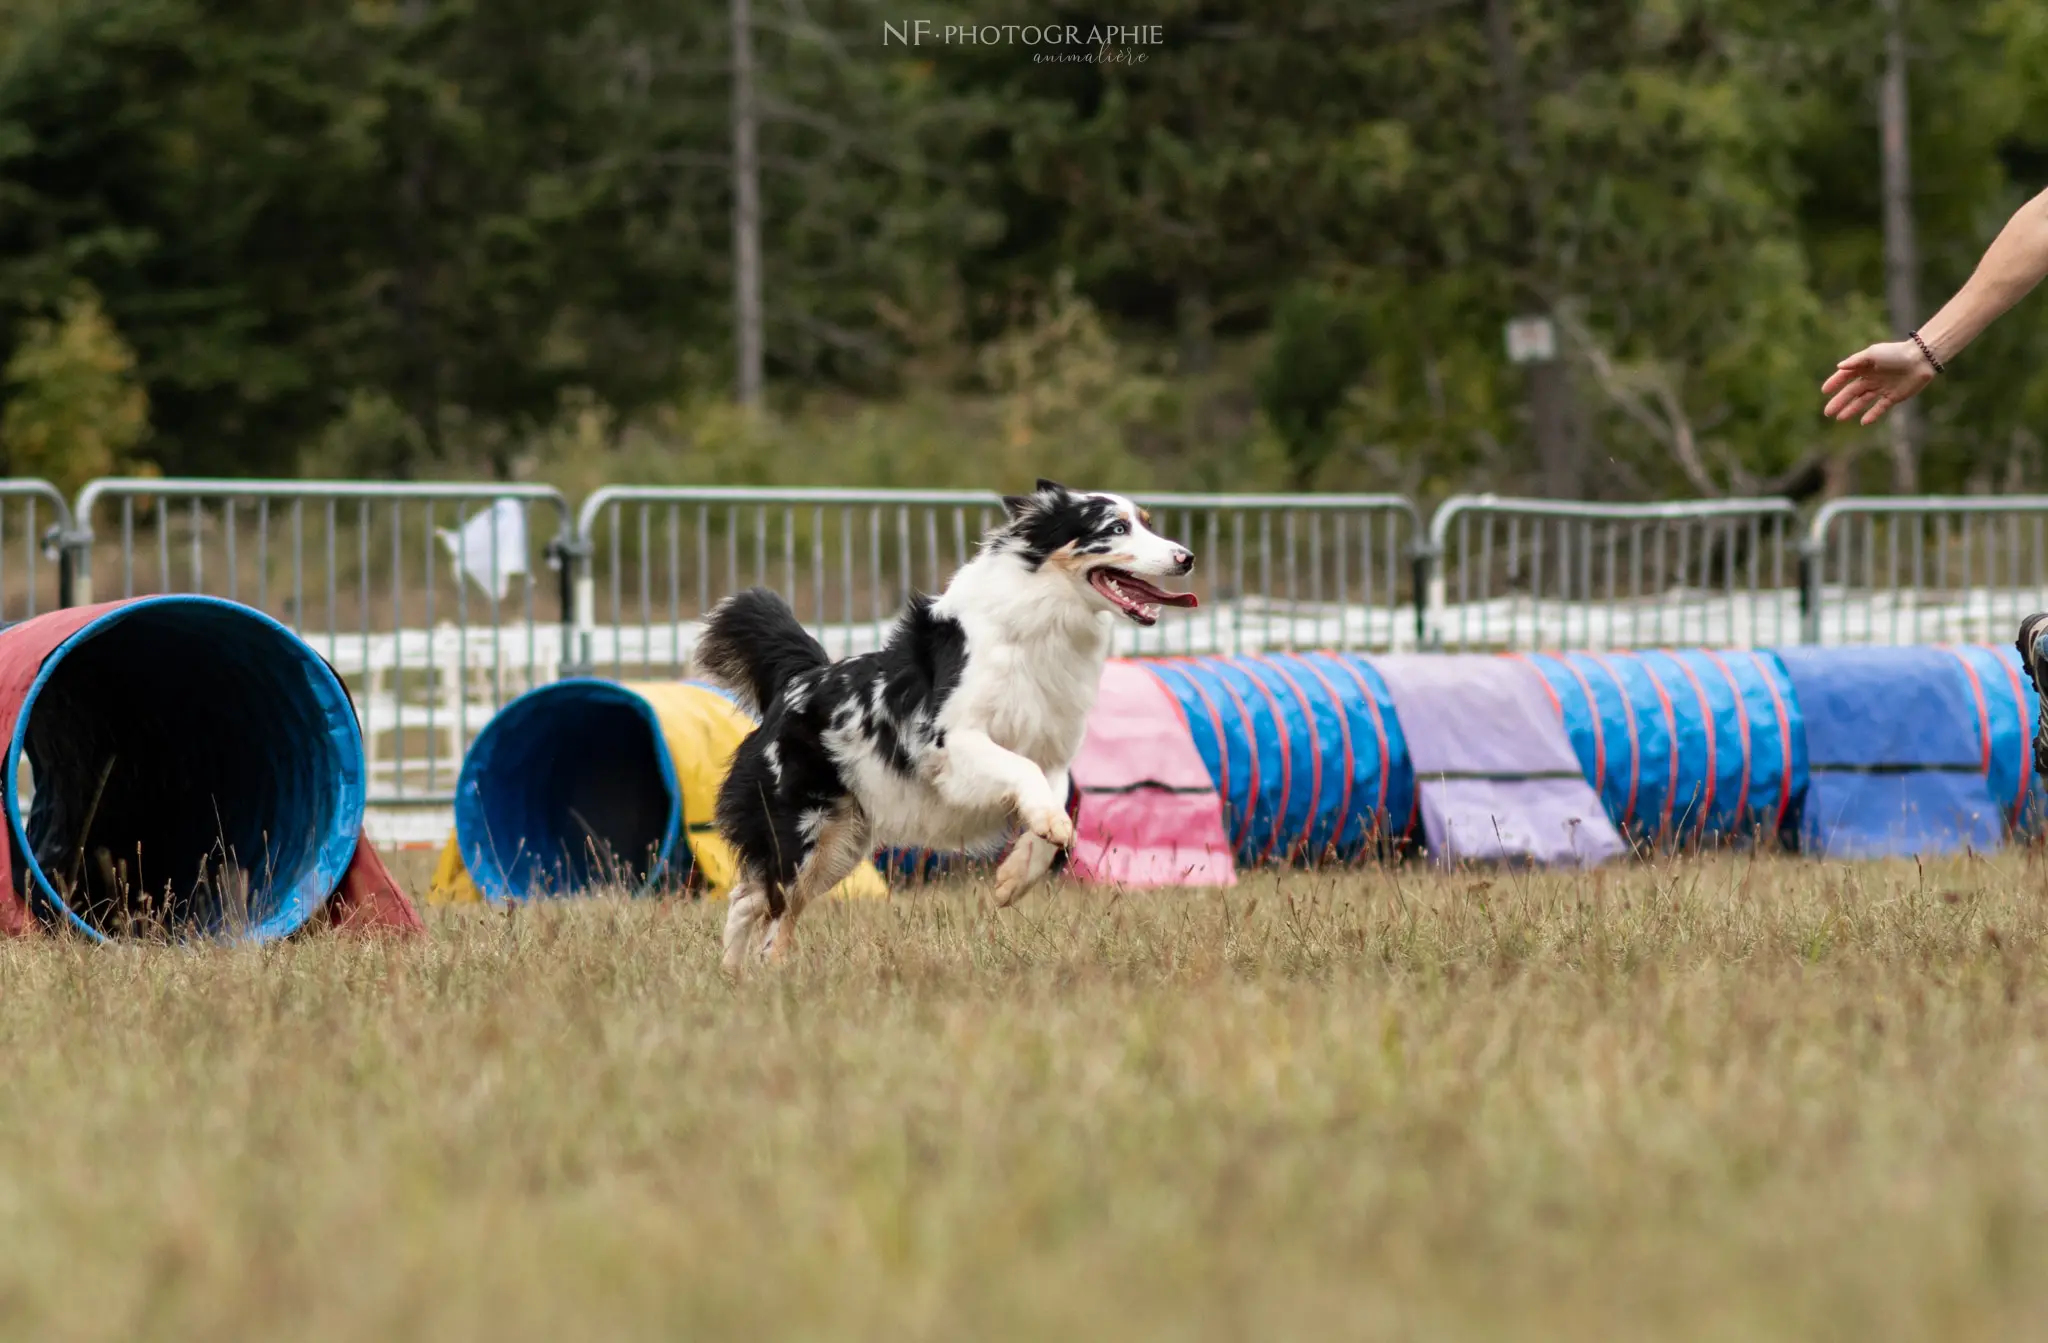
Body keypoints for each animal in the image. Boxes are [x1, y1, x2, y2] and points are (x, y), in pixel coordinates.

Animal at [692, 479, 1196, 966]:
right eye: (1116, 528)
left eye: (1147, 524)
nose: (1185, 557)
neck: (1043, 618)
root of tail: (796, 682)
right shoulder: (952, 743)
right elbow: (1023, 771)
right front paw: (1044, 834)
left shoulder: (1053, 753)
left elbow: (1052, 806)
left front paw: (1014, 877)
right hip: (802, 832)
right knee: (765, 907)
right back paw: (757, 973)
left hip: (840, 846)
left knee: (757, 903)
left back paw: (746, 976)